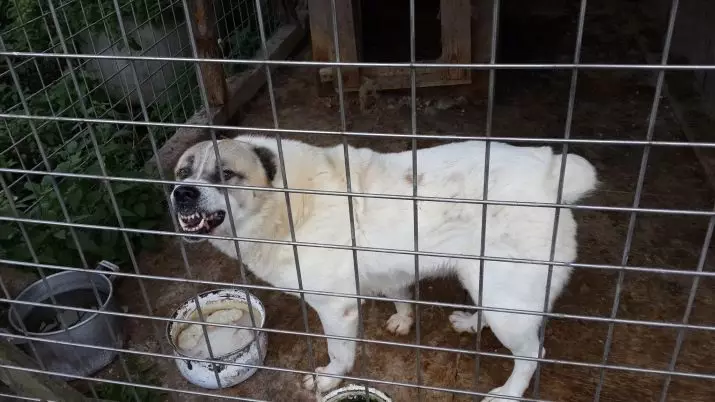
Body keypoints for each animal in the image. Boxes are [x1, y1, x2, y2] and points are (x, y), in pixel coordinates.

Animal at [171, 137, 596, 400]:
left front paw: (329, 378)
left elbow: (340, 352)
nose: (183, 193)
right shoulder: (393, 270)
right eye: (181, 173)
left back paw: (509, 393)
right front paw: (403, 320)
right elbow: (400, 296)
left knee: (533, 353)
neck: (287, 203)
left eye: (226, 175)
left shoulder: (336, 308)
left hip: (507, 300)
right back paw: (472, 323)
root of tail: (553, 177)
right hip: (487, 284)